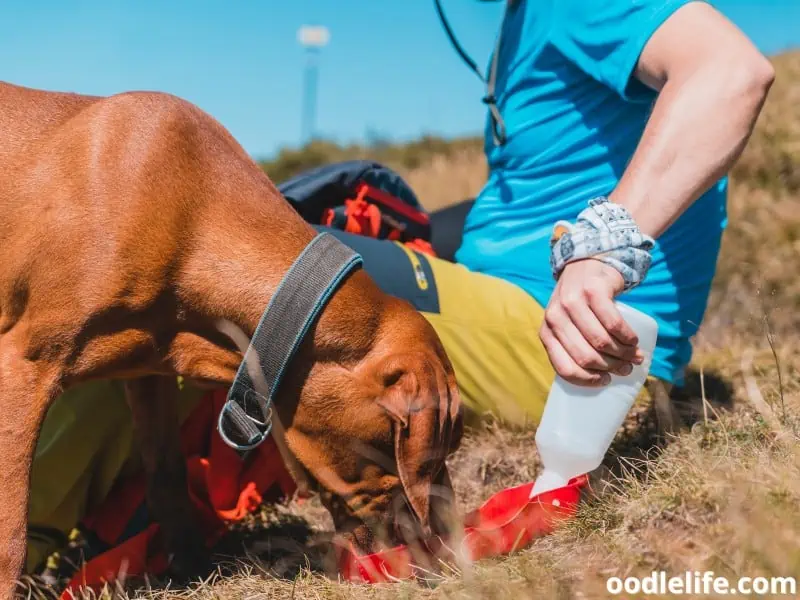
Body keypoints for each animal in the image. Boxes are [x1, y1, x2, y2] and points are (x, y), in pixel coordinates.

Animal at [0, 82, 462, 596]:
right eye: (423, 450)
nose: (449, 548)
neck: (191, 216)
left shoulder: (149, 376)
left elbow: (168, 479)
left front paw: (191, 568)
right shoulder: (22, 369)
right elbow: (11, 533)